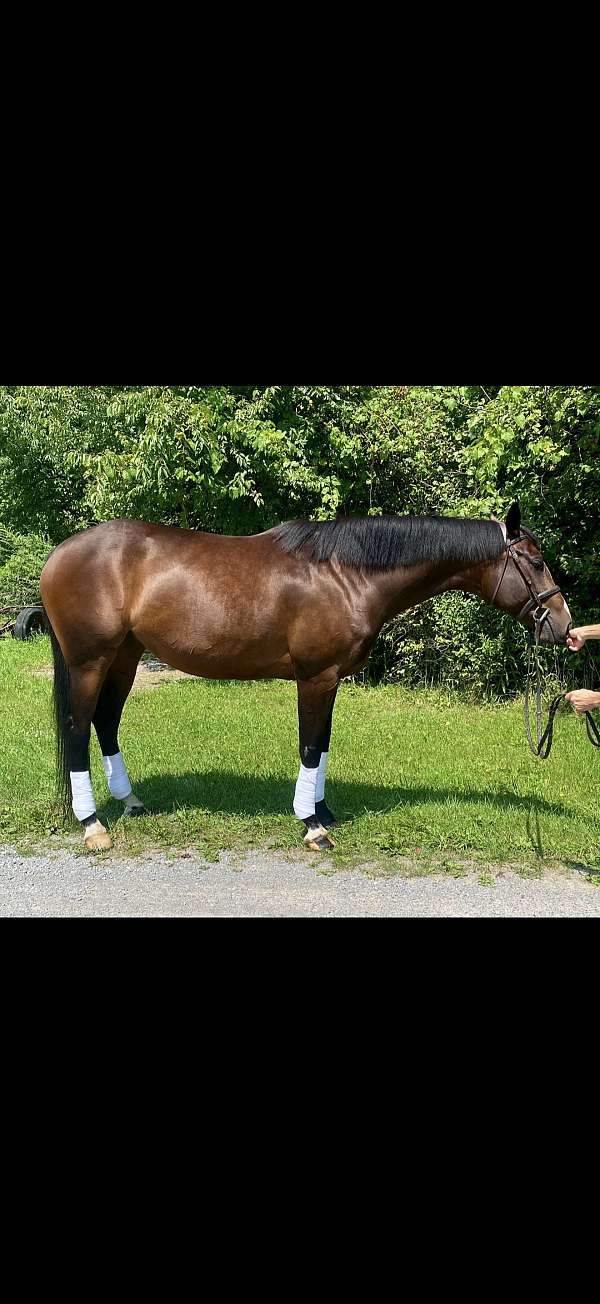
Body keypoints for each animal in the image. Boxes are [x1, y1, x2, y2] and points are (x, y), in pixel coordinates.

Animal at [39, 501, 572, 854]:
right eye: (538, 562)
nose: (564, 625)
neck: (346, 574)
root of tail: (60, 554)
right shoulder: (316, 677)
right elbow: (311, 745)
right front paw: (313, 825)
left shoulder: (331, 679)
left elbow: (324, 742)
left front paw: (323, 809)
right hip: (90, 661)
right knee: (78, 729)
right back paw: (93, 825)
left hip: (125, 657)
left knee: (106, 722)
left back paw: (129, 800)